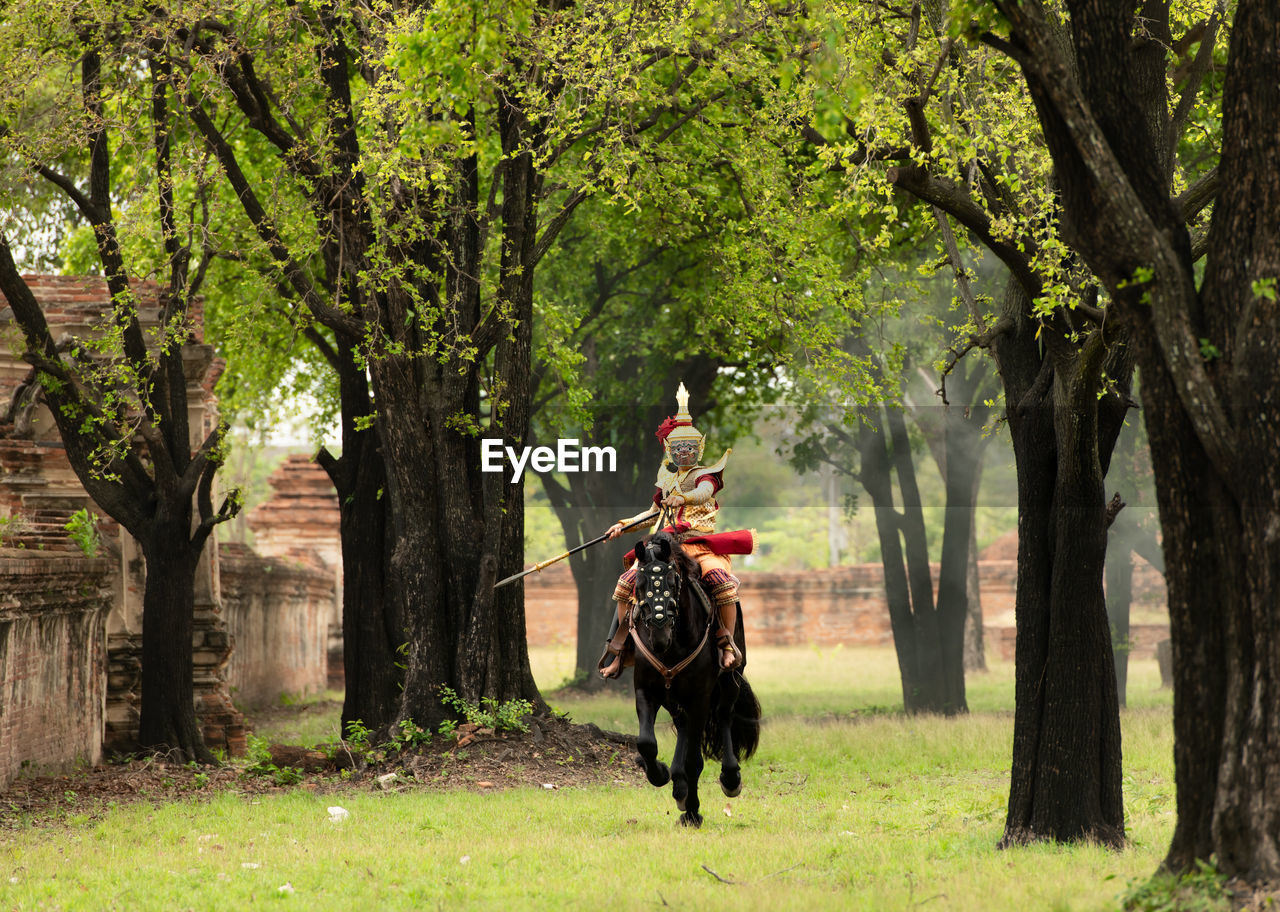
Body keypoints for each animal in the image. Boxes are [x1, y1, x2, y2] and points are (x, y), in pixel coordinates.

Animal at [627, 530, 757, 830]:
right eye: (639, 583)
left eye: (673, 581)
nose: (659, 635)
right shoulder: (645, 691)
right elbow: (646, 743)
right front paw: (661, 773)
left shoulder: (700, 698)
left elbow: (695, 760)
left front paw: (693, 812)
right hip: (673, 695)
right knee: (682, 724)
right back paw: (679, 785)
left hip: (730, 678)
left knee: (724, 715)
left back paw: (729, 778)